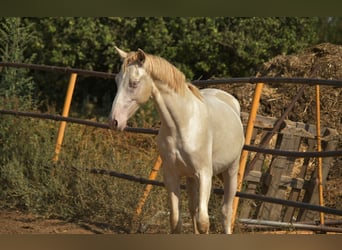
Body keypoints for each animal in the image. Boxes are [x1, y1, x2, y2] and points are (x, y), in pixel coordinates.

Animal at [108, 47, 244, 234]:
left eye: (133, 83)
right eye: (116, 80)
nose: (114, 121)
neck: (183, 123)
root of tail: (231, 101)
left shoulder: (204, 174)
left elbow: (203, 222)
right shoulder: (171, 175)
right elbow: (176, 221)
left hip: (231, 170)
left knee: (226, 211)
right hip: (191, 178)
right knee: (193, 208)